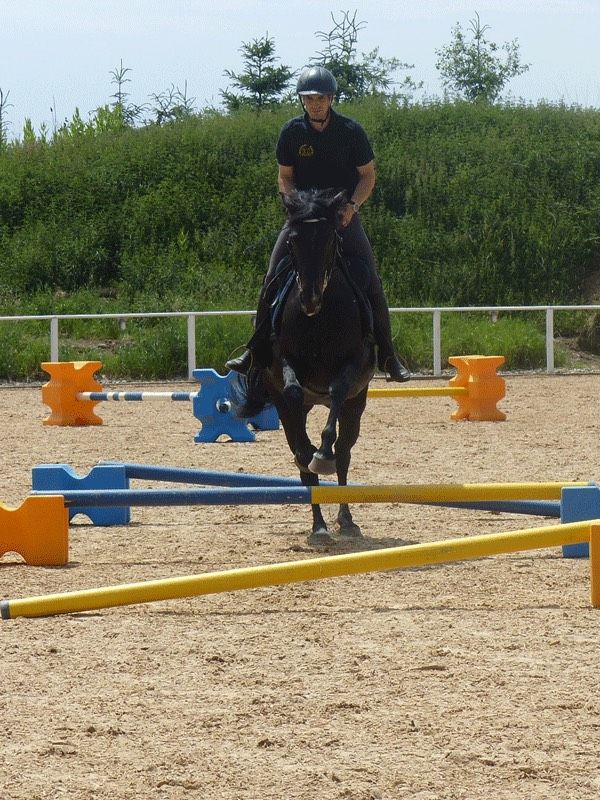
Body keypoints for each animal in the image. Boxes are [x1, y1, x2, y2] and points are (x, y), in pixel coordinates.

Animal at [231, 191, 376, 548]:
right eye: (293, 241)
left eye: (329, 239)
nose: (309, 298)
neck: (318, 319)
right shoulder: (280, 363)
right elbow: (293, 391)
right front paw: (310, 451)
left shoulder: (353, 365)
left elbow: (337, 393)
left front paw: (321, 453)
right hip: (288, 405)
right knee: (301, 453)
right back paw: (319, 525)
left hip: (356, 405)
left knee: (344, 453)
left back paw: (345, 518)